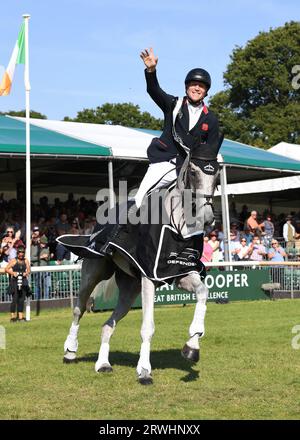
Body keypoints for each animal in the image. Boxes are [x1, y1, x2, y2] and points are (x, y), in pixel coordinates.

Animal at [63, 156, 218, 384]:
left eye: (216, 176)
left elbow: (202, 292)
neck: (178, 226)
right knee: (78, 309)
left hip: (129, 290)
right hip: (93, 274)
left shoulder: (179, 274)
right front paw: (144, 371)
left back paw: (103, 364)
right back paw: (70, 351)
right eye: (193, 172)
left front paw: (192, 347)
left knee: (107, 326)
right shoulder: (149, 278)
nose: (207, 219)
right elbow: (147, 327)